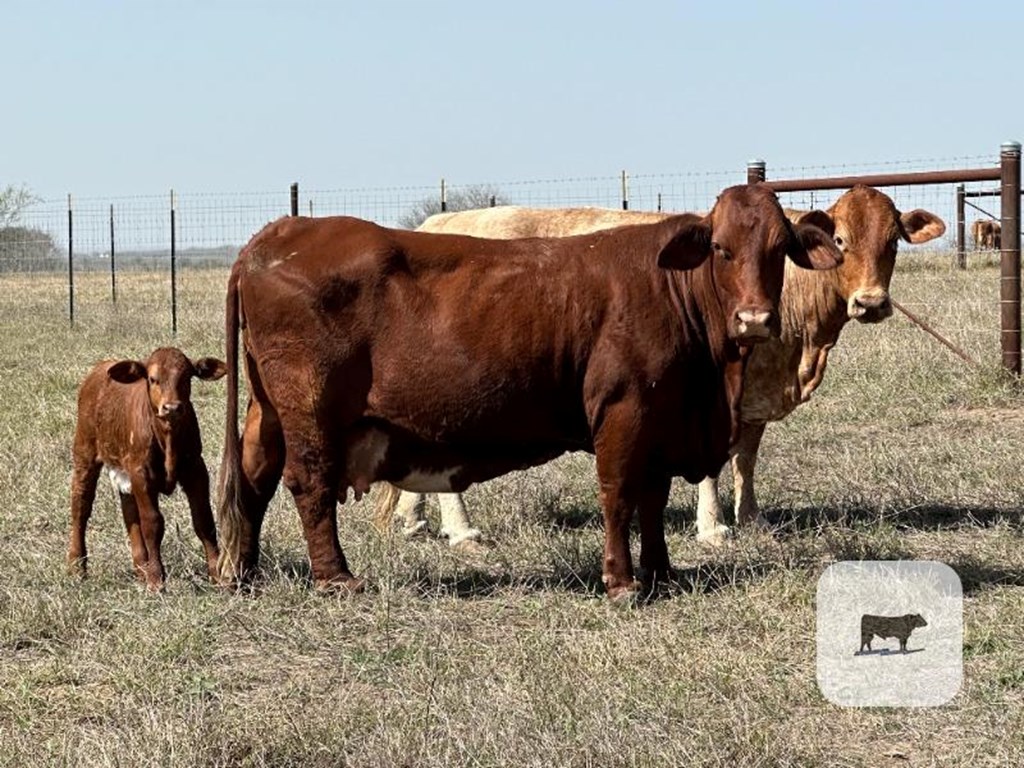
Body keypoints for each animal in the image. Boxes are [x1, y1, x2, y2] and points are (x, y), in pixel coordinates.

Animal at [68, 346, 228, 593]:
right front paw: (156, 578)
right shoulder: (141, 474)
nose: (172, 408)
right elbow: (152, 522)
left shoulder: (196, 469)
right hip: (85, 451)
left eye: (186, 377)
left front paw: (217, 575)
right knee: (81, 505)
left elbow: (204, 520)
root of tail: (101, 367)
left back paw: (141, 568)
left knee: (129, 510)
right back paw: (77, 566)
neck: (167, 438)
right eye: (153, 379)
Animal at [218, 185, 839, 602]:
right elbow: (620, 495)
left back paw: (241, 570)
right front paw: (622, 581)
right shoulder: (623, 410)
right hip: (310, 407)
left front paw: (661, 573)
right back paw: (335, 578)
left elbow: (653, 500)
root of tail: (279, 233)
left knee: (253, 477)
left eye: (779, 249)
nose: (754, 319)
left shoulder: (662, 421)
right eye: (721, 248)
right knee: (309, 483)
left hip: (267, 409)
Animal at [382, 186, 942, 548]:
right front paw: (713, 526)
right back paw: (462, 531)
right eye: (841, 241)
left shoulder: (756, 396)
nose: (871, 303)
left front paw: (752, 518)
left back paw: (415, 520)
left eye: (893, 240)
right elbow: (715, 463)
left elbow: (746, 458)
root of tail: (435, 224)